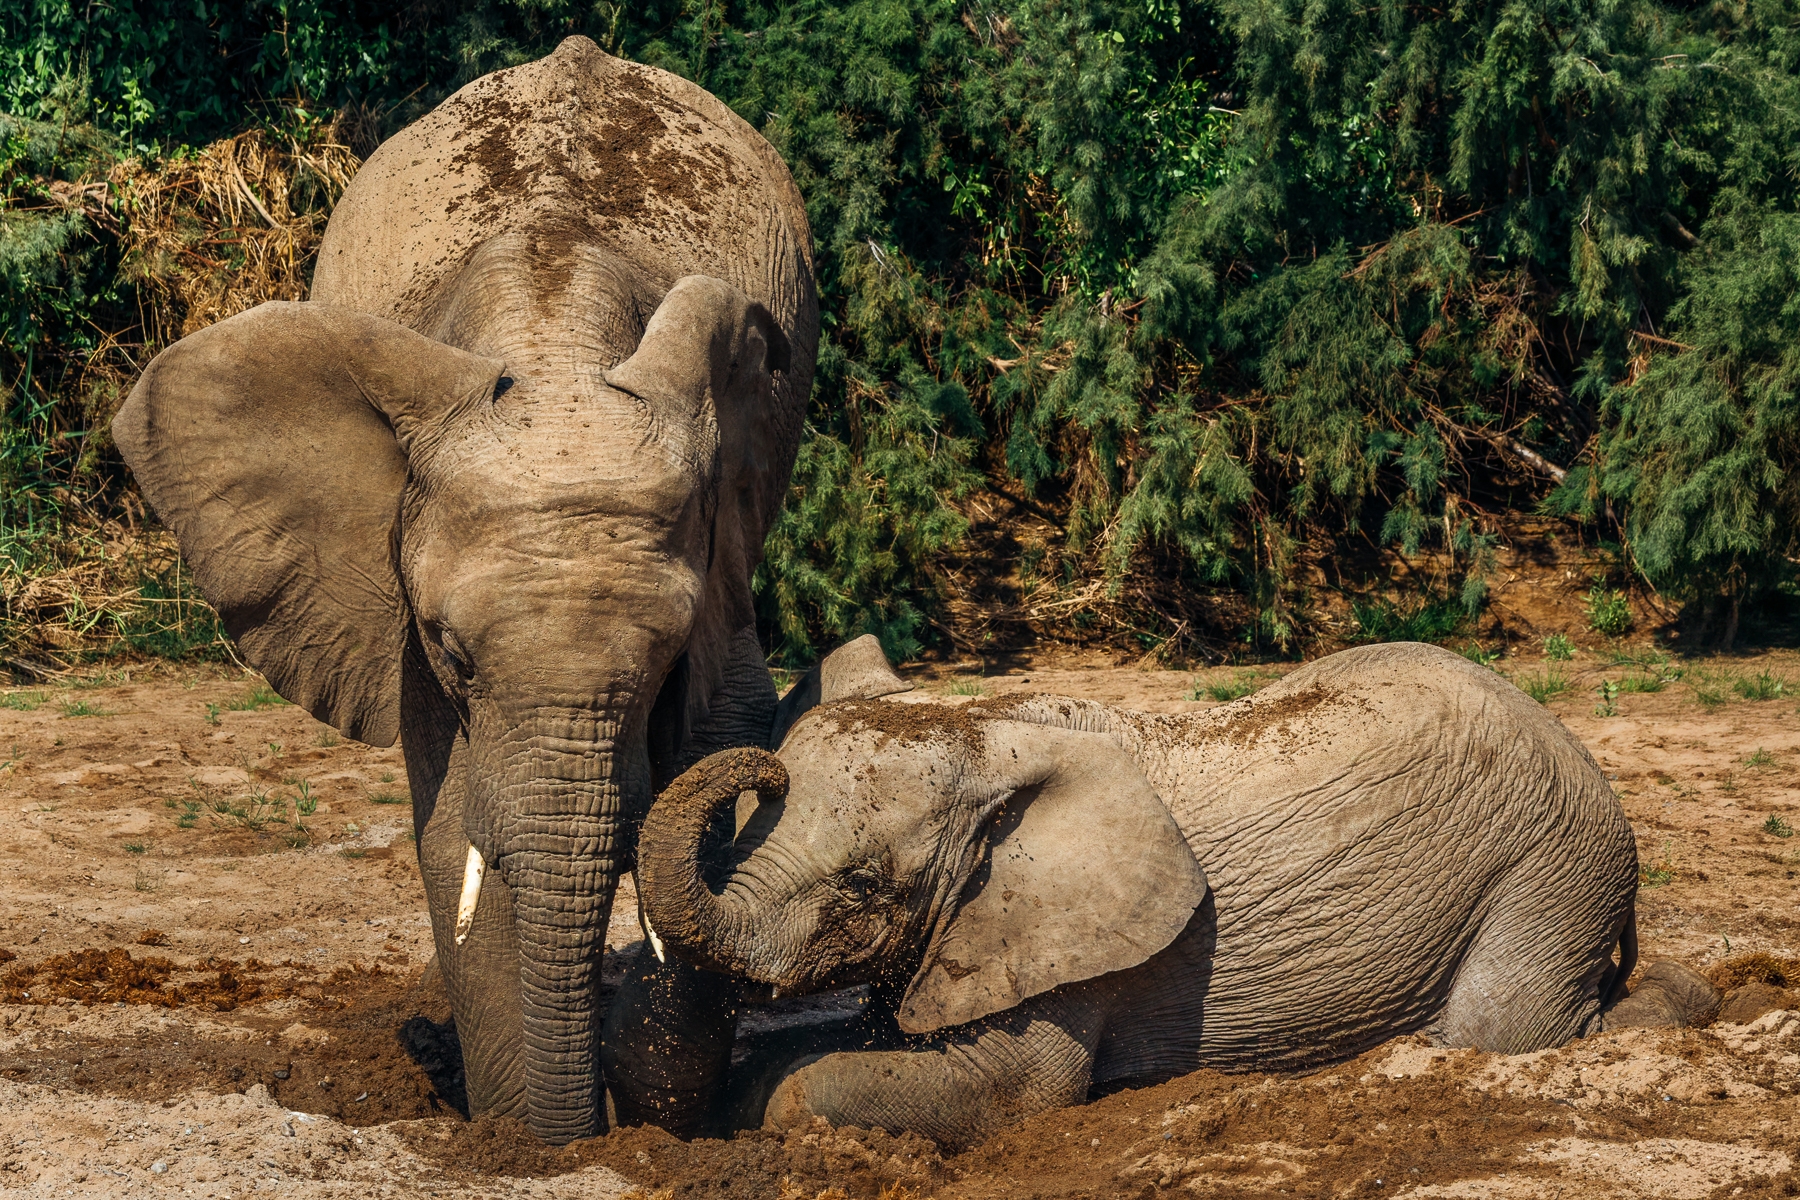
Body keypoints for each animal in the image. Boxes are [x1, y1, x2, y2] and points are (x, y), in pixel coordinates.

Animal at [111, 36, 817, 1143]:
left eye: (666, 655)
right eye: (451, 650)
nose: (594, 1124)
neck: (556, 353)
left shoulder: (722, 545)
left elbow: (719, 735)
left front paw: (648, 1110)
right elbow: (451, 833)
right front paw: (525, 1143)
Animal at [636, 641, 1720, 1149]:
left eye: (864, 886)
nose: (756, 766)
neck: (986, 726)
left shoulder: (1074, 949)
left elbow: (1005, 1088)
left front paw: (755, 1103)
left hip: (1554, 861)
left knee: (1503, 1029)